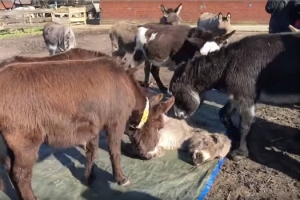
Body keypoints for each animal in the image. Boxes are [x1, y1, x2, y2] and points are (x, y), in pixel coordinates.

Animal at [0, 57, 171, 199]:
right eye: (158, 125)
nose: (151, 155)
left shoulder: (93, 126)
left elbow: (92, 152)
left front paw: (89, 177)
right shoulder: (115, 122)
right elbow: (114, 152)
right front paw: (120, 179)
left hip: (12, 143)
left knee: (9, 168)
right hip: (25, 141)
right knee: (20, 174)